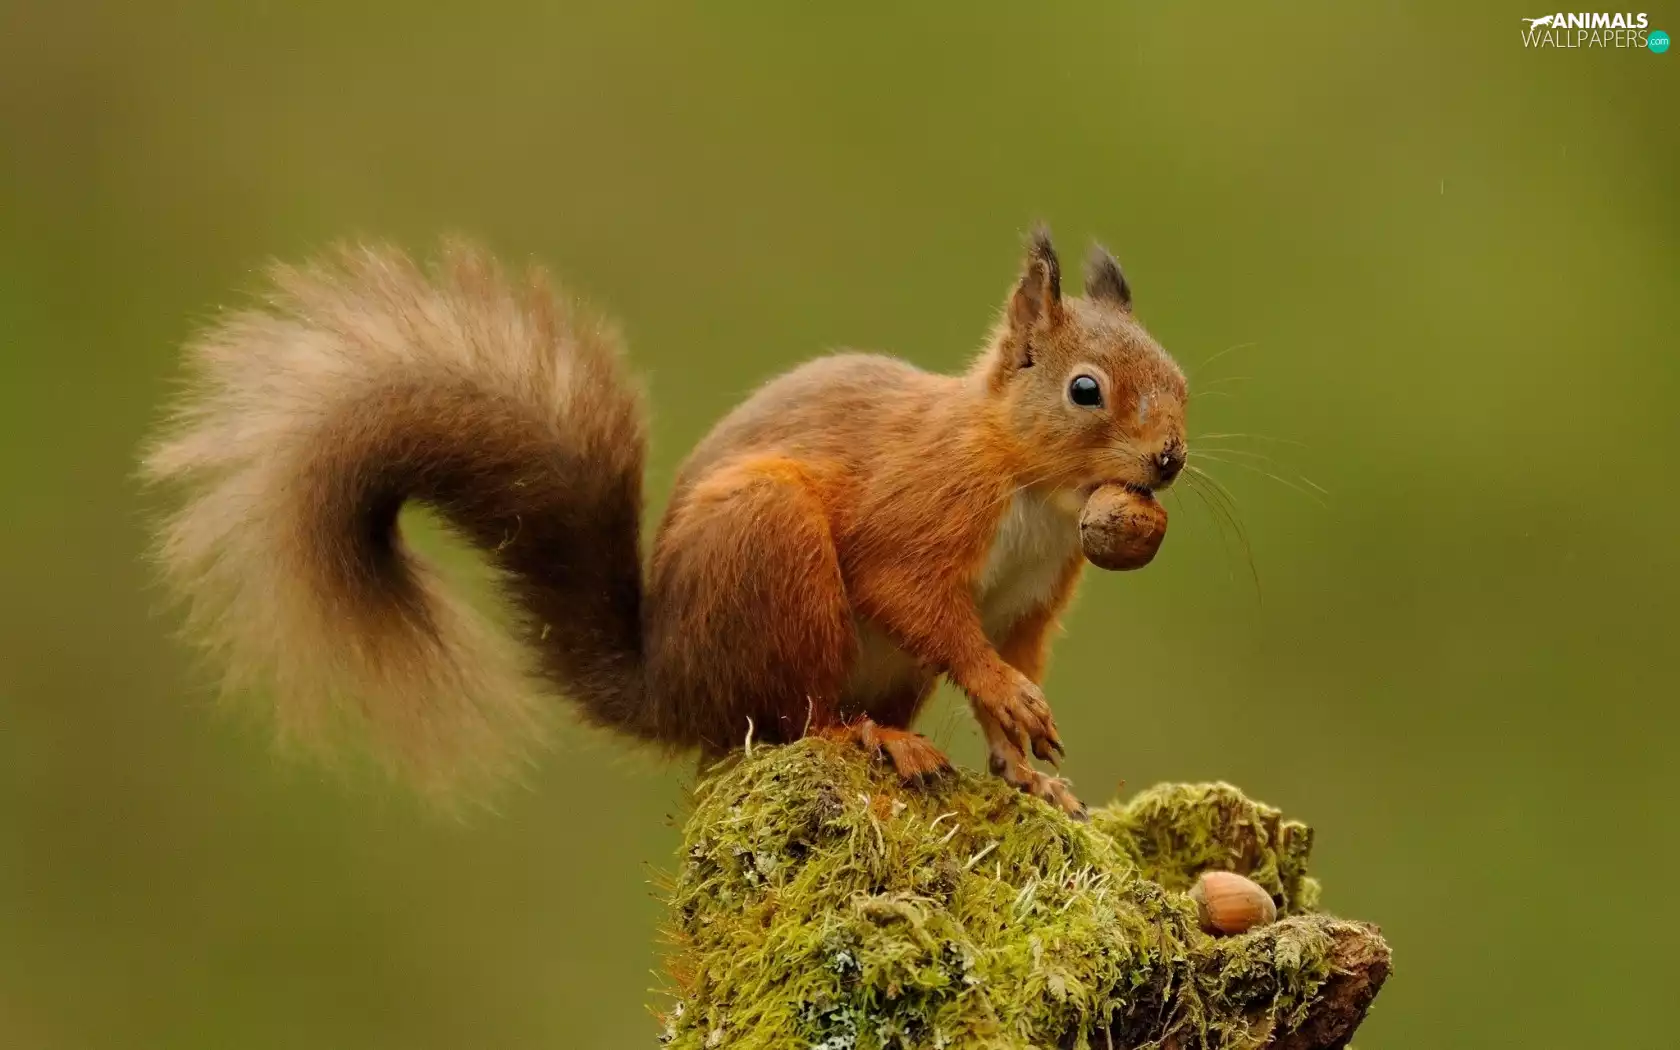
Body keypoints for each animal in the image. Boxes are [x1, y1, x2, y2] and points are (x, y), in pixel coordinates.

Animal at [142, 226, 1187, 817]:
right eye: (1085, 389)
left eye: (1178, 375)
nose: (1171, 459)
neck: (1032, 488)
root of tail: (672, 686)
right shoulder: (922, 510)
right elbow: (920, 602)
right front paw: (1012, 704)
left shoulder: (1030, 601)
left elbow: (1002, 666)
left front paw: (1027, 765)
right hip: (772, 549)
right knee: (795, 716)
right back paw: (871, 739)